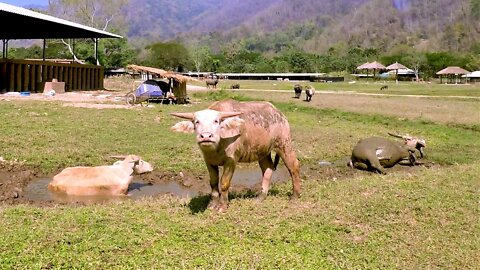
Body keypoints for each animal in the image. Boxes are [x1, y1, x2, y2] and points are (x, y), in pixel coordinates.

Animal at [172, 100, 300, 212]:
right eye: (196, 121)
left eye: (216, 121)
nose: (206, 136)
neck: (217, 147)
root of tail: (279, 114)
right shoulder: (208, 161)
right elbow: (213, 183)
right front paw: (212, 204)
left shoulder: (231, 161)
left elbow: (224, 183)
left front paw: (222, 206)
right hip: (263, 152)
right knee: (267, 168)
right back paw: (260, 197)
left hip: (284, 144)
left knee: (293, 166)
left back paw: (295, 196)